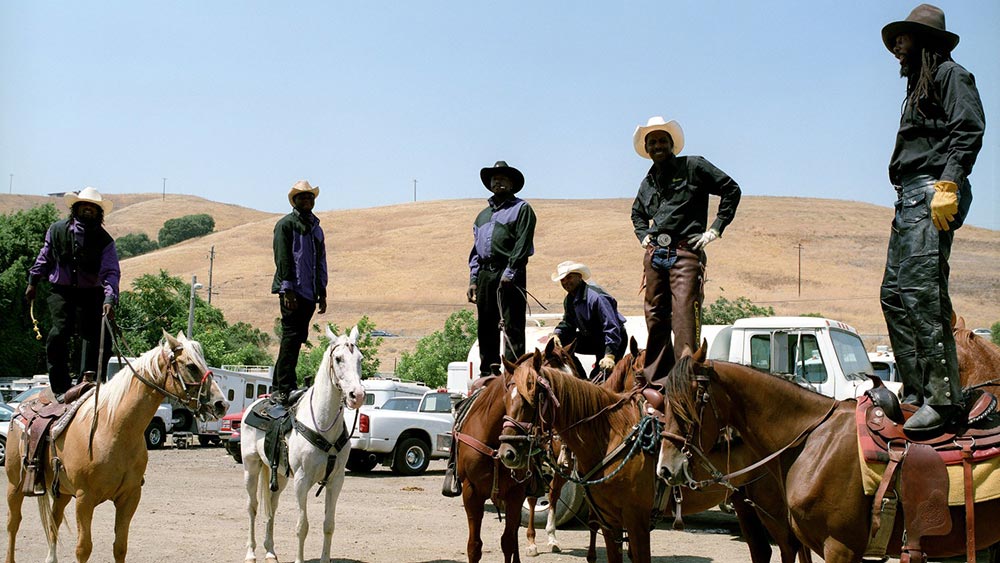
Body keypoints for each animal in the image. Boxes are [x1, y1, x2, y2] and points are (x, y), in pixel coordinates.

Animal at [4, 330, 227, 563]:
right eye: (191, 366)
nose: (221, 404)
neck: (112, 428)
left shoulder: (129, 497)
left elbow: (120, 547)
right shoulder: (84, 499)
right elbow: (83, 548)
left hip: (62, 491)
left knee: (53, 522)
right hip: (15, 484)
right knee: (13, 522)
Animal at [240, 326, 366, 563]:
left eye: (360, 359)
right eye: (338, 359)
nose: (358, 395)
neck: (323, 424)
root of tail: (255, 404)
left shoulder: (336, 481)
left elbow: (328, 525)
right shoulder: (301, 480)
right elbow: (302, 527)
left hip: (279, 476)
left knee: (272, 507)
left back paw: (270, 552)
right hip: (251, 467)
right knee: (253, 507)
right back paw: (251, 553)